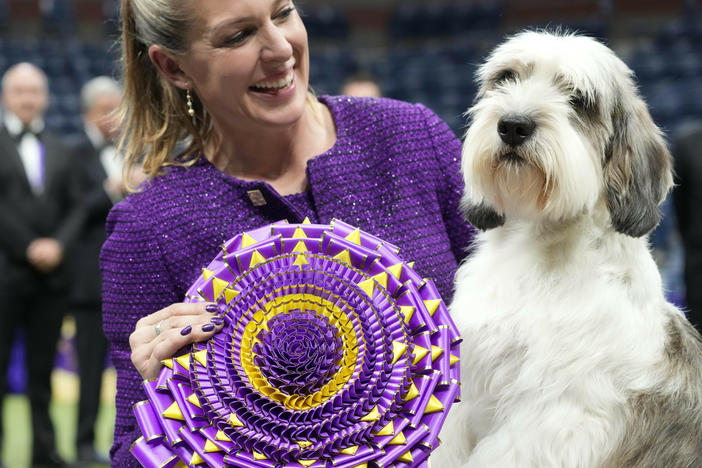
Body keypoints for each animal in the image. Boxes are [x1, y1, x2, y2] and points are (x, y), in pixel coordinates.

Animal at [434, 30, 702, 468]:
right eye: (506, 78)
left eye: (578, 98)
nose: (513, 125)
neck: (536, 248)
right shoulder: (467, 395)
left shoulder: (554, 421)